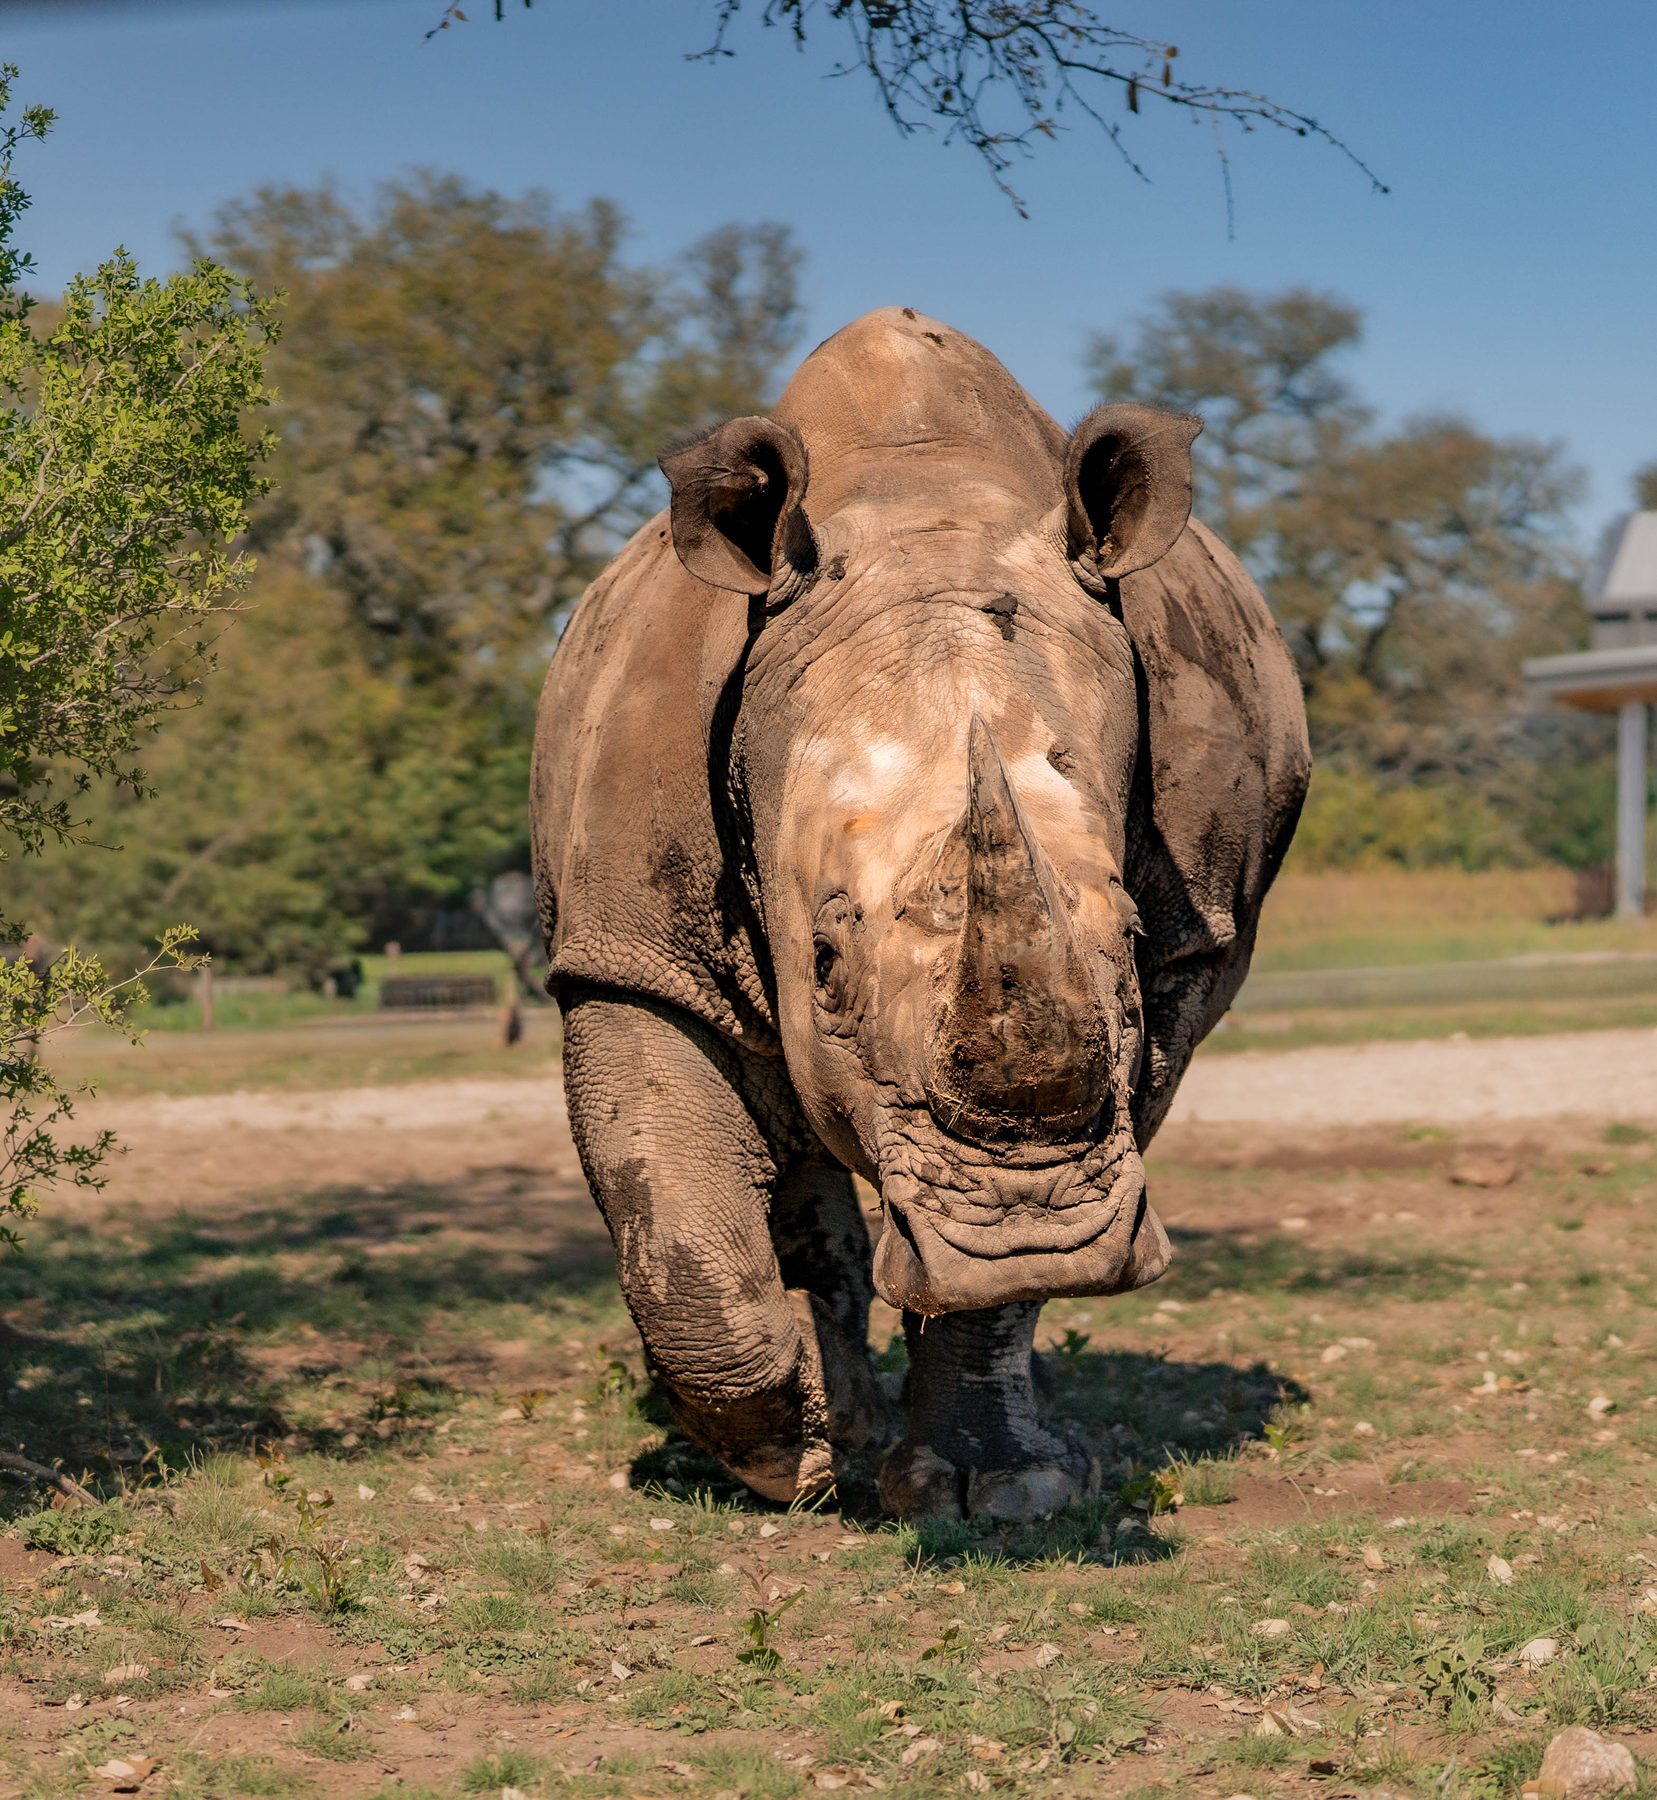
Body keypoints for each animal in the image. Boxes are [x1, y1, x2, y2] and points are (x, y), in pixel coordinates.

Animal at [531, 308, 1308, 1521]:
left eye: (1133, 941)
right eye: (822, 960)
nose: (1037, 1244)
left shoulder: (1188, 958)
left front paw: (1002, 1484)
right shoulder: (624, 946)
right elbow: (669, 1206)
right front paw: (789, 1456)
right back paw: (837, 1415)